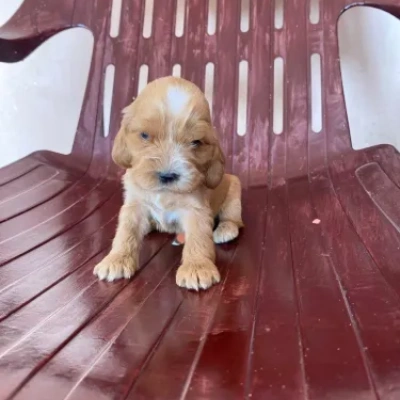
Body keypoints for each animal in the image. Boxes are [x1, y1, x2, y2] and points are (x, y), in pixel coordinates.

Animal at [94, 76, 244, 290]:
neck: (163, 192)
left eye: (196, 142)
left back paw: (226, 229)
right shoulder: (134, 204)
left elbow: (198, 237)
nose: (167, 176)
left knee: (233, 218)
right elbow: (126, 231)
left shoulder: (196, 209)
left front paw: (197, 268)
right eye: (144, 135)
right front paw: (116, 259)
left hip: (234, 188)